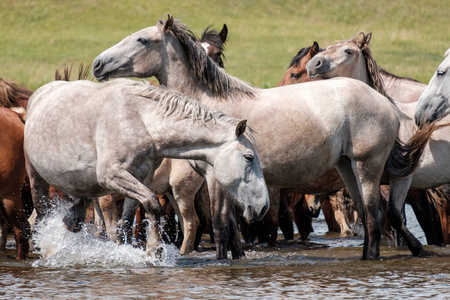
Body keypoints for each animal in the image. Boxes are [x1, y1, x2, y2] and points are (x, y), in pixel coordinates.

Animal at [23, 78, 270, 256]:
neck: (142, 121)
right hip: (37, 179)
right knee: (42, 214)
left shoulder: (141, 178)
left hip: (84, 187)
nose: (263, 206)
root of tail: (39, 94)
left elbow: (125, 224)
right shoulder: (113, 176)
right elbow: (152, 204)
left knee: (73, 217)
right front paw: (154, 250)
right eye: (249, 157)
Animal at [93, 15, 428, 260]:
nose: (98, 64)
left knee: (374, 215)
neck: (208, 107)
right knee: (371, 216)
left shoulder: (215, 180)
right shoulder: (227, 182)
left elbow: (219, 226)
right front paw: (236, 259)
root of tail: (386, 103)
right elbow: (232, 229)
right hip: (348, 168)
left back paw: (373, 259)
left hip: (367, 167)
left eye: (141, 40)